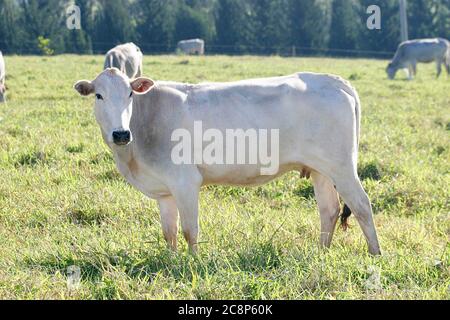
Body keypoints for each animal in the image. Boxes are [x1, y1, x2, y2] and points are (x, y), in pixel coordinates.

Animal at [74, 67, 380, 255]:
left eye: (129, 94)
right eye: (99, 95)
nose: (120, 133)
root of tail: (332, 79)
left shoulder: (186, 181)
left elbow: (190, 230)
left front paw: (192, 262)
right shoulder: (164, 191)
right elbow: (169, 232)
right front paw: (172, 260)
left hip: (342, 166)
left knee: (362, 205)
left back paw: (375, 254)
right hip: (320, 169)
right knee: (329, 209)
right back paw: (321, 252)